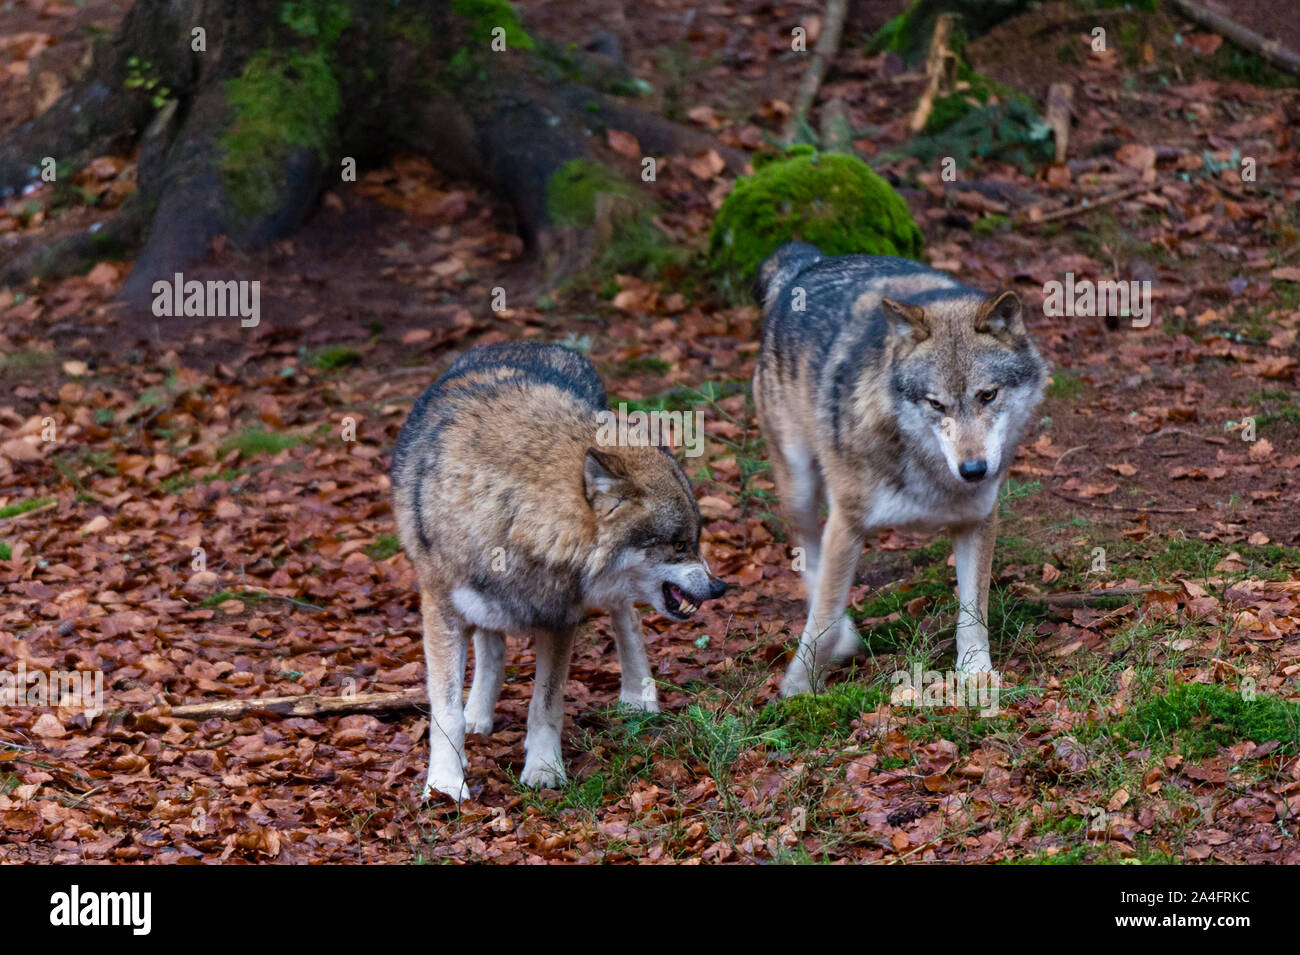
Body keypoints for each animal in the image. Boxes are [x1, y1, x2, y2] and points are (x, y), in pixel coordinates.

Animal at [391, 341, 727, 800]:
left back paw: (638, 696)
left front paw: (545, 769)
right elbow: (446, 713)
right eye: (679, 544)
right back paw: (478, 714)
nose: (719, 586)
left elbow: (545, 705)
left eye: (693, 540)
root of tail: (537, 344)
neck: (513, 513)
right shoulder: (441, 611)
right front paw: (445, 784)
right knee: (492, 651)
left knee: (629, 621)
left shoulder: (560, 617)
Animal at [752, 242, 1047, 696]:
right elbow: (821, 617)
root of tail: (805, 264)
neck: (929, 468)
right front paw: (798, 689)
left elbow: (973, 611)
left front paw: (976, 673)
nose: (974, 470)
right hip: (799, 484)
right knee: (809, 557)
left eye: (988, 395)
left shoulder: (978, 519)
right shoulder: (847, 521)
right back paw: (845, 637)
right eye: (936, 404)